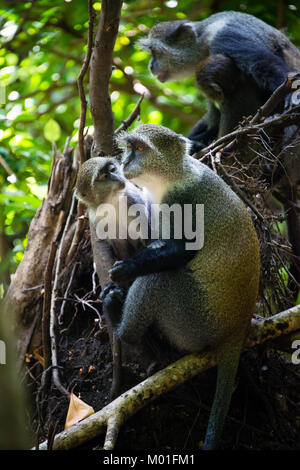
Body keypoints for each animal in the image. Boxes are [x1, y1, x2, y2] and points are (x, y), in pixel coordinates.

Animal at [101, 123, 260, 450]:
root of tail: (236, 329)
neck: (169, 177)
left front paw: (127, 270)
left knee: (161, 279)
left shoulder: (183, 202)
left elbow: (180, 251)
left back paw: (121, 326)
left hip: (194, 324)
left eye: (139, 148)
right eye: (128, 148)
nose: (125, 162)